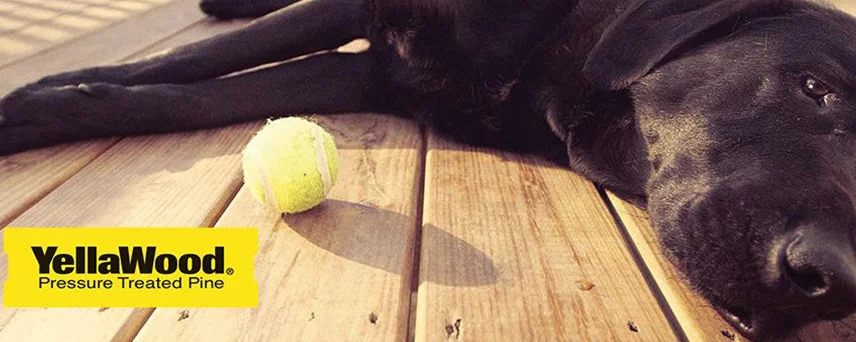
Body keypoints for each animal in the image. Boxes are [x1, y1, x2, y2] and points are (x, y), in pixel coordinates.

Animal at [1, 0, 856, 338]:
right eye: (815, 87)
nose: (833, 278)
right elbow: (186, 65)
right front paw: (39, 95)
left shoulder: (375, 76)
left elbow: (199, 97)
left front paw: (54, 103)